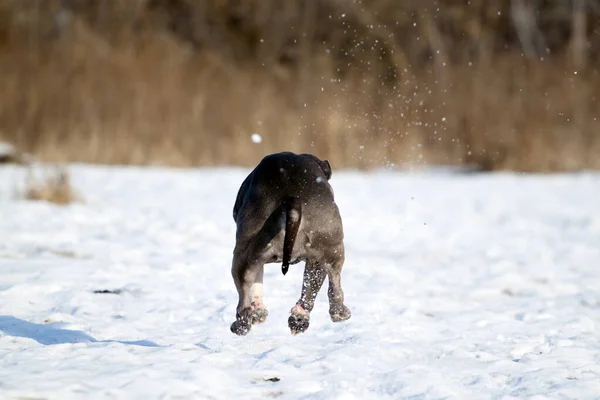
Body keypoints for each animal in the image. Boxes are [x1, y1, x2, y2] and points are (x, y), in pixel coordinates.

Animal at [230, 152, 352, 336]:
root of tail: (291, 198)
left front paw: (258, 312)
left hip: (245, 252)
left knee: (244, 296)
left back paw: (242, 324)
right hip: (330, 246)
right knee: (328, 285)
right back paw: (317, 315)